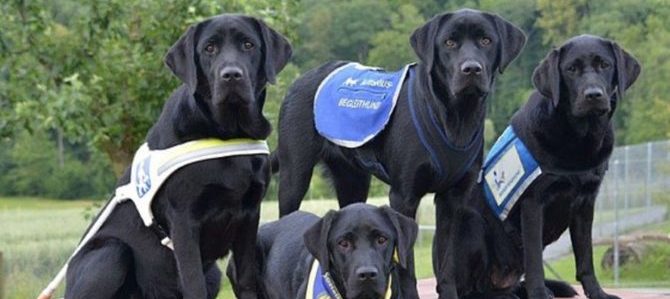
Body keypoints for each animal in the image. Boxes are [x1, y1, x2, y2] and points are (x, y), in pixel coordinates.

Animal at [57, 14, 292, 299]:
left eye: (248, 44)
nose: (231, 75)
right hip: (111, 253)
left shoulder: (249, 215)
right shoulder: (184, 221)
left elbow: (247, 279)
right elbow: (192, 283)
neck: (227, 133)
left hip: (212, 273)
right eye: (209, 48)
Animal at [276, 8, 528, 298]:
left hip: (353, 180)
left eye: (486, 40)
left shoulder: (453, 199)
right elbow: (406, 267)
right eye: (449, 43)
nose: (471, 69)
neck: (455, 117)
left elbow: (447, 264)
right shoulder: (404, 196)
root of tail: (299, 80)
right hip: (294, 176)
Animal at [454, 35, 644, 299]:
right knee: (469, 288)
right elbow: (535, 260)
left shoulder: (585, 204)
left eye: (605, 65)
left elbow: (585, 259)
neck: (580, 137)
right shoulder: (533, 203)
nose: (593, 94)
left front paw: (597, 293)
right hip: (472, 226)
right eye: (571, 69)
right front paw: (539, 293)